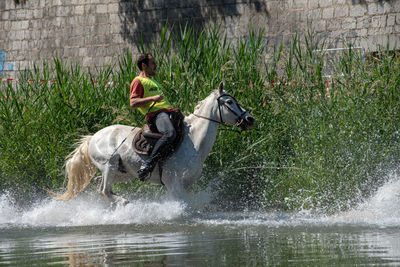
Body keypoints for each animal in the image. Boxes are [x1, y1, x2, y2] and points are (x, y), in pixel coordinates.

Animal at [54, 83, 253, 205]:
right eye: (229, 102)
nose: (250, 119)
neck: (195, 142)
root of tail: (93, 137)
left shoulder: (186, 184)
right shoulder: (173, 183)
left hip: (123, 172)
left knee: (100, 186)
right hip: (109, 164)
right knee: (104, 190)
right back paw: (125, 203)